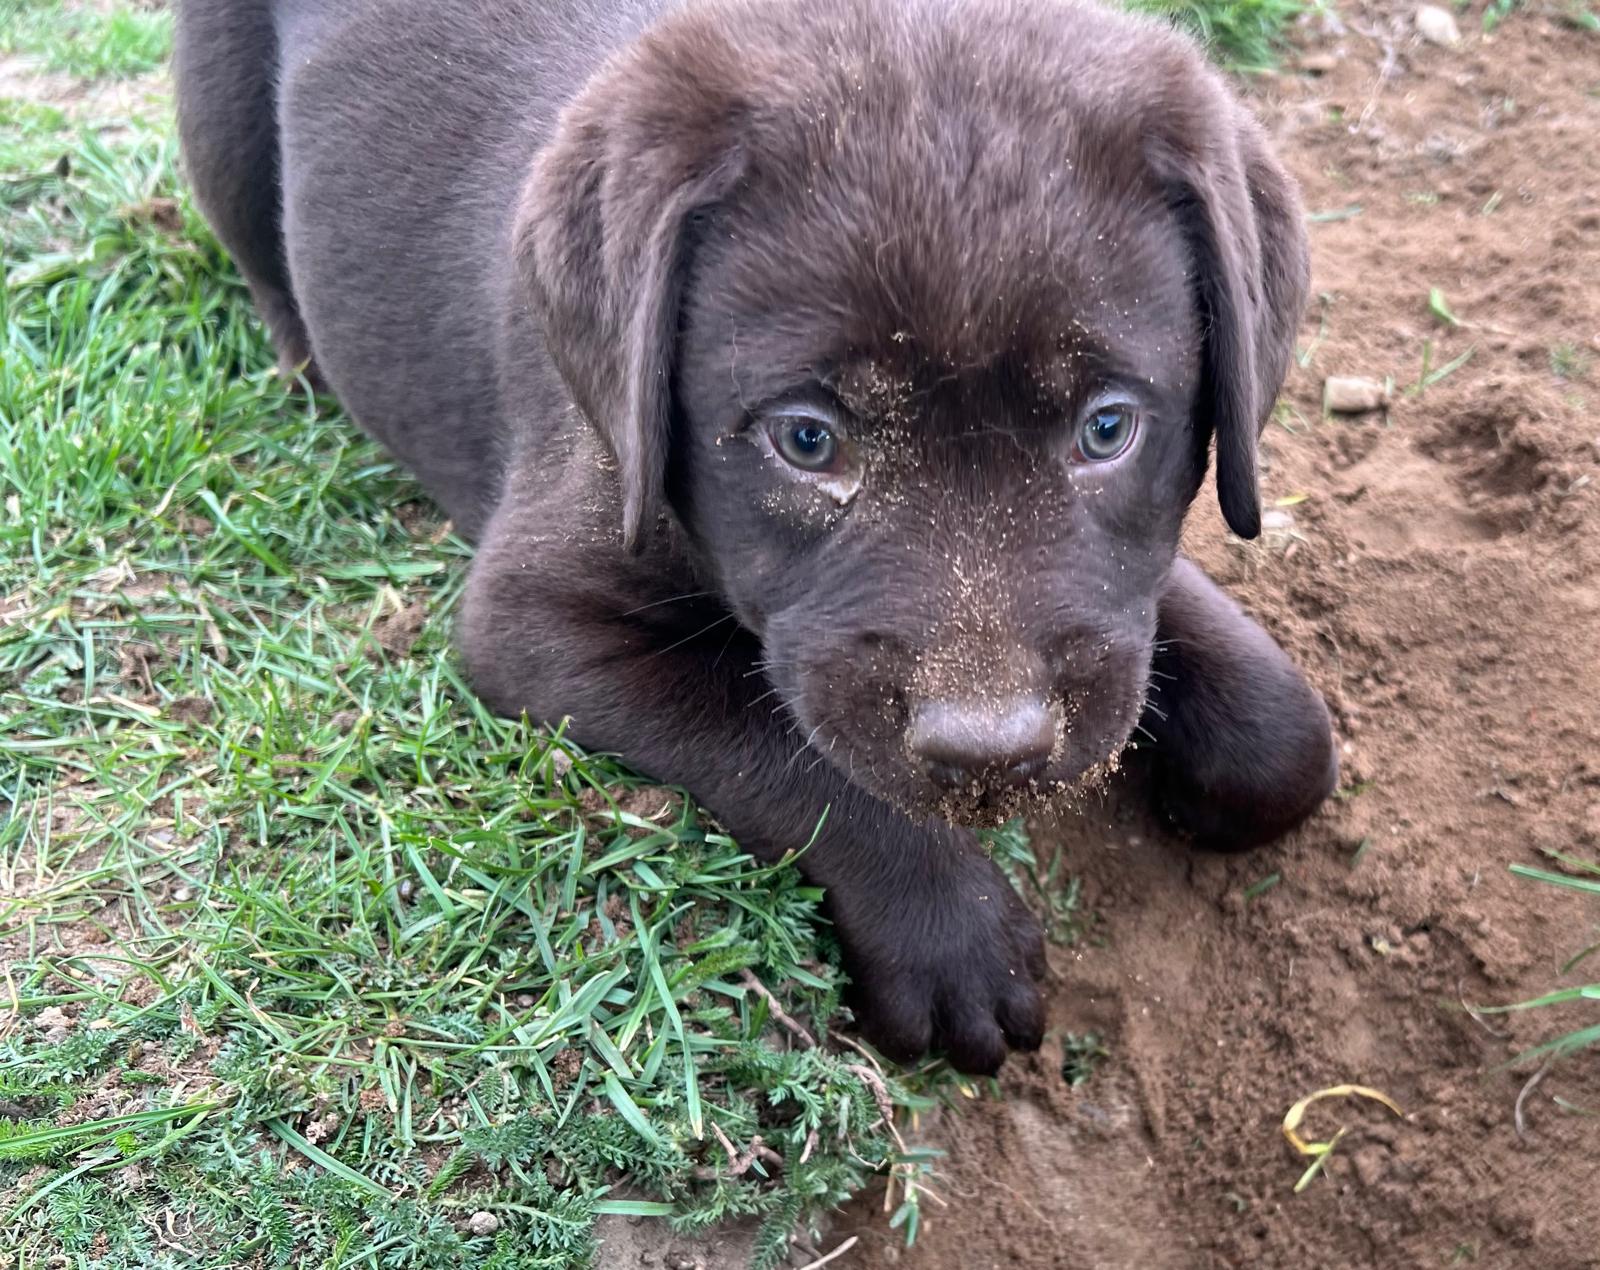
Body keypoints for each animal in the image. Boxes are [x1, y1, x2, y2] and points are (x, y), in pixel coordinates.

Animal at [175, 0, 1338, 1074]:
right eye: (807, 440)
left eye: (1106, 428)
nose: (988, 754)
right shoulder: (534, 614)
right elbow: (778, 743)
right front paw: (950, 931)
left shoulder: (1125, 599)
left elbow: (1274, 726)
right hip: (217, 109)